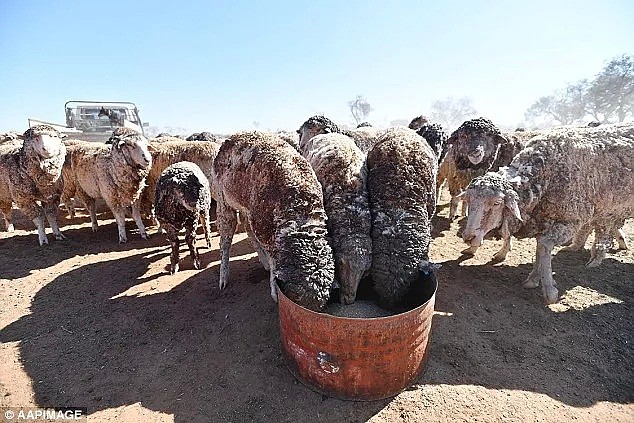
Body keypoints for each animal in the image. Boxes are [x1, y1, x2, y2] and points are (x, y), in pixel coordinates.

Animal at [211, 130, 336, 312]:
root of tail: (231, 137)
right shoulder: (263, 227)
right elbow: (272, 255)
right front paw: (275, 291)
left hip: (246, 208)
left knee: (247, 228)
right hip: (223, 200)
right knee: (226, 239)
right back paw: (223, 277)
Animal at [460, 122, 632, 304]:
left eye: (497, 203)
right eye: (469, 200)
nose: (468, 237)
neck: (546, 174)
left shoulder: (571, 218)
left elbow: (544, 244)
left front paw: (549, 290)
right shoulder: (542, 218)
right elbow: (539, 246)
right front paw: (534, 278)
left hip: (607, 207)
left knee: (602, 231)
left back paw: (595, 259)